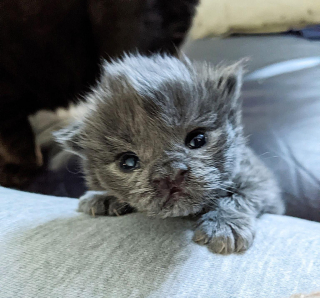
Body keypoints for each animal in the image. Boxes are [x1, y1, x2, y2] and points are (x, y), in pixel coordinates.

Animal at [55, 53, 284, 254]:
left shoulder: (260, 179)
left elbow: (242, 195)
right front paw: (103, 197)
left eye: (198, 139)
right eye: (128, 162)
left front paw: (224, 224)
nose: (170, 175)